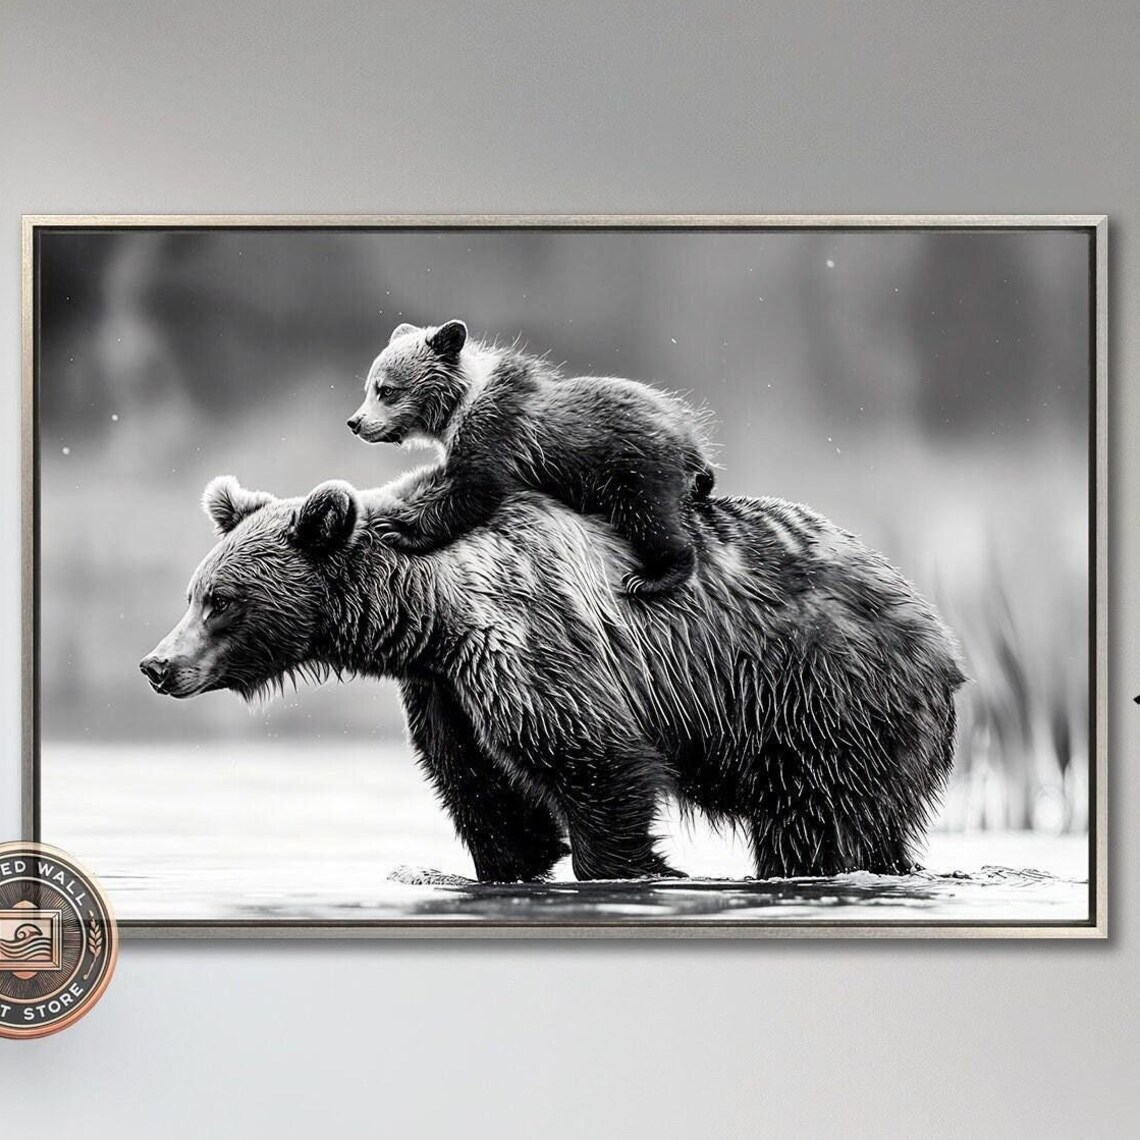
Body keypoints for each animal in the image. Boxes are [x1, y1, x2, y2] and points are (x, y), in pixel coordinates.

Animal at [140, 476, 965, 882]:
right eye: (193, 591)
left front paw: (638, 869)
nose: (158, 665)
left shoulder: (529, 644)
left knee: (819, 825)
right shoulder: (445, 692)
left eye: (221, 601)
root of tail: (941, 634)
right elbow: (485, 798)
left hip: (823, 700)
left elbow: (596, 765)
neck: (428, 613)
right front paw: (513, 862)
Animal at [346, 320, 716, 595]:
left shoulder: (495, 436)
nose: (356, 422)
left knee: (650, 517)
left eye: (387, 390)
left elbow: (472, 493)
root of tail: (688, 437)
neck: (457, 408)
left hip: (634, 468)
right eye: (368, 386)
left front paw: (397, 529)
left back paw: (653, 576)